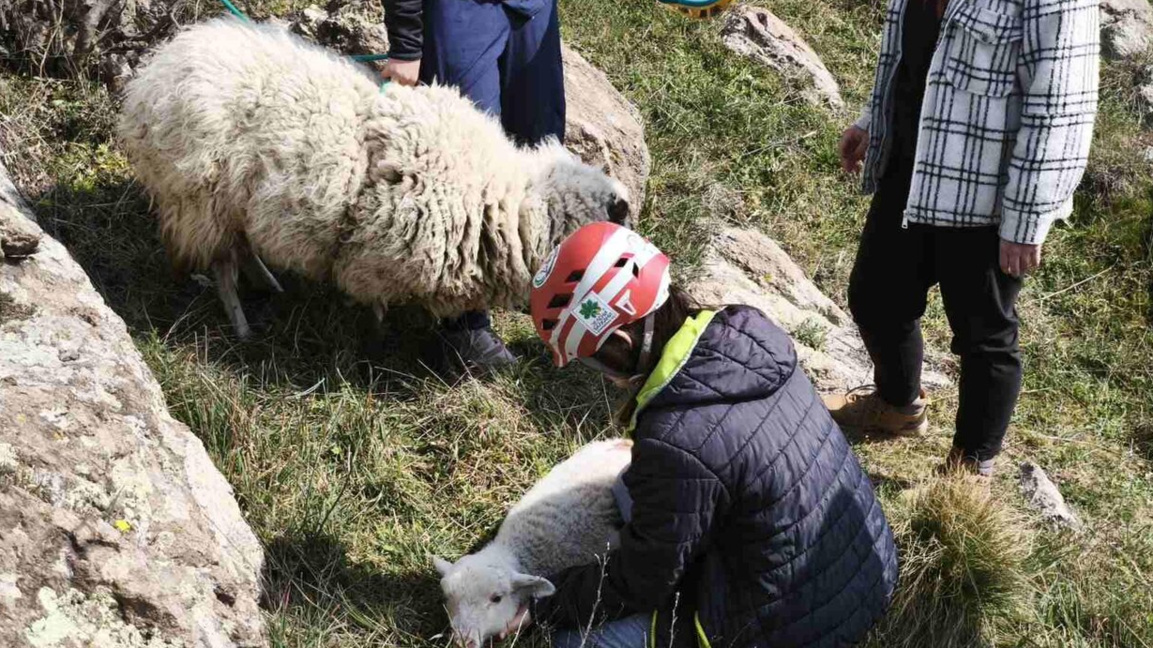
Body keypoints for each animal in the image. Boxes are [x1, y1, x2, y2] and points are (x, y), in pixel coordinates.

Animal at [117, 18, 630, 338]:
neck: (504, 199)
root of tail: (154, 74)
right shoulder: (379, 256)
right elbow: (373, 299)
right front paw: (376, 327)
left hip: (233, 201)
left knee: (241, 246)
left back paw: (268, 282)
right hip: (201, 198)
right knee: (222, 264)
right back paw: (242, 325)